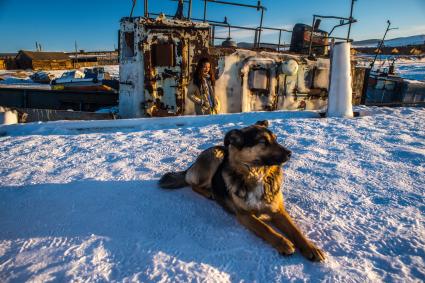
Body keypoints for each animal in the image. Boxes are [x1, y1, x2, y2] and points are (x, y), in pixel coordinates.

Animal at [159, 121, 324, 262]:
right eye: (263, 142)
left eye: (276, 139)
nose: (290, 153)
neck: (257, 174)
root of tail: (192, 165)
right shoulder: (244, 215)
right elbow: (264, 228)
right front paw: (284, 243)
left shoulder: (278, 210)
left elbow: (295, 230)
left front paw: (311, 248)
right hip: (216, 155)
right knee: (192, 184)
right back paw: (209, 192)